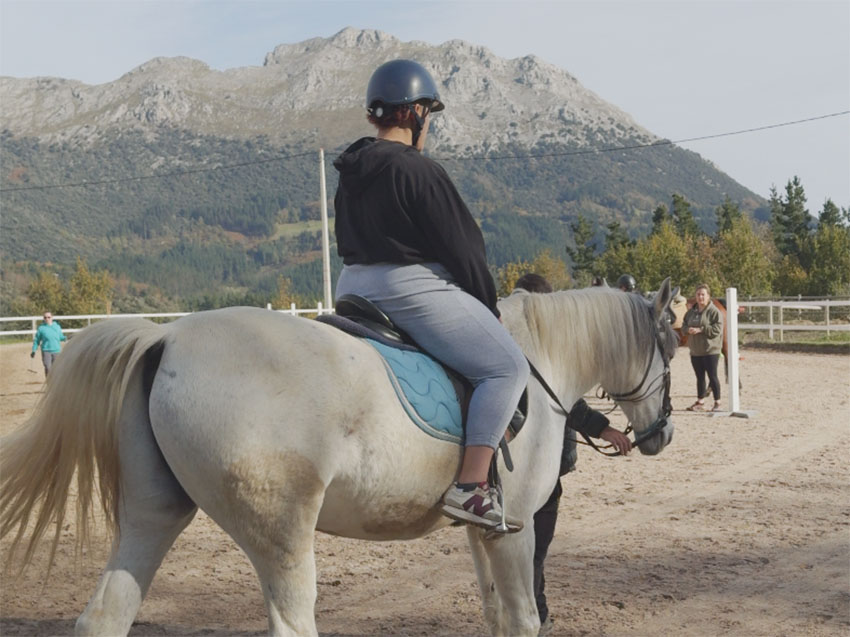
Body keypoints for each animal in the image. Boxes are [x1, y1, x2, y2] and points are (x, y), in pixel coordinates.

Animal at [1, 280, 676, 637]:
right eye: (670, 347)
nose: (661, 436)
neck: (536, 363)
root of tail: (168, 336)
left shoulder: (479, 532)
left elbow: (492, 612)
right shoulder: (514, 531)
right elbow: (520, 618)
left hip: (153, 513)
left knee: (105, 615)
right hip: (281, 533)